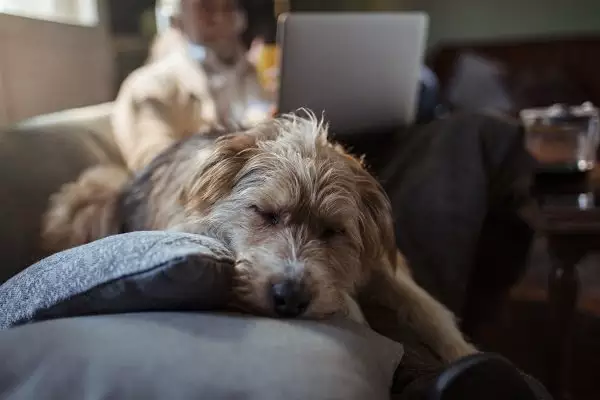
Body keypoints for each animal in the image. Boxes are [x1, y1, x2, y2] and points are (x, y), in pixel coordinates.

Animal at [42, 113, 476, 362]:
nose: (290, 298)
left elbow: (425, 304)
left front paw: (463, 351)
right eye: (265, 213)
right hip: (92, 194)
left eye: (333, 231)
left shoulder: (381, 264)